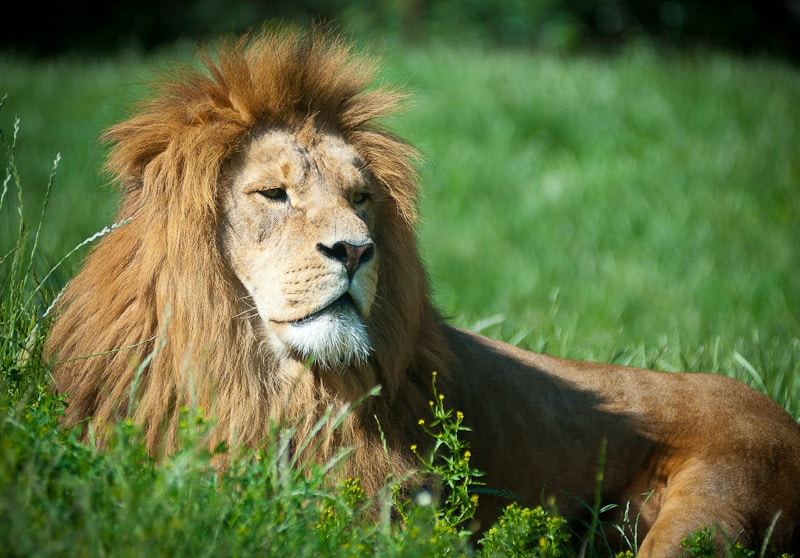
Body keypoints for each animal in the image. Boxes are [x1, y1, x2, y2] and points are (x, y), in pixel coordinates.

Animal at [46, 26, 800, 556]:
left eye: (360, 198)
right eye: (274, 194)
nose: (355, 250)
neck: (264, 378)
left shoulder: (386, 510)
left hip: (714, 501)